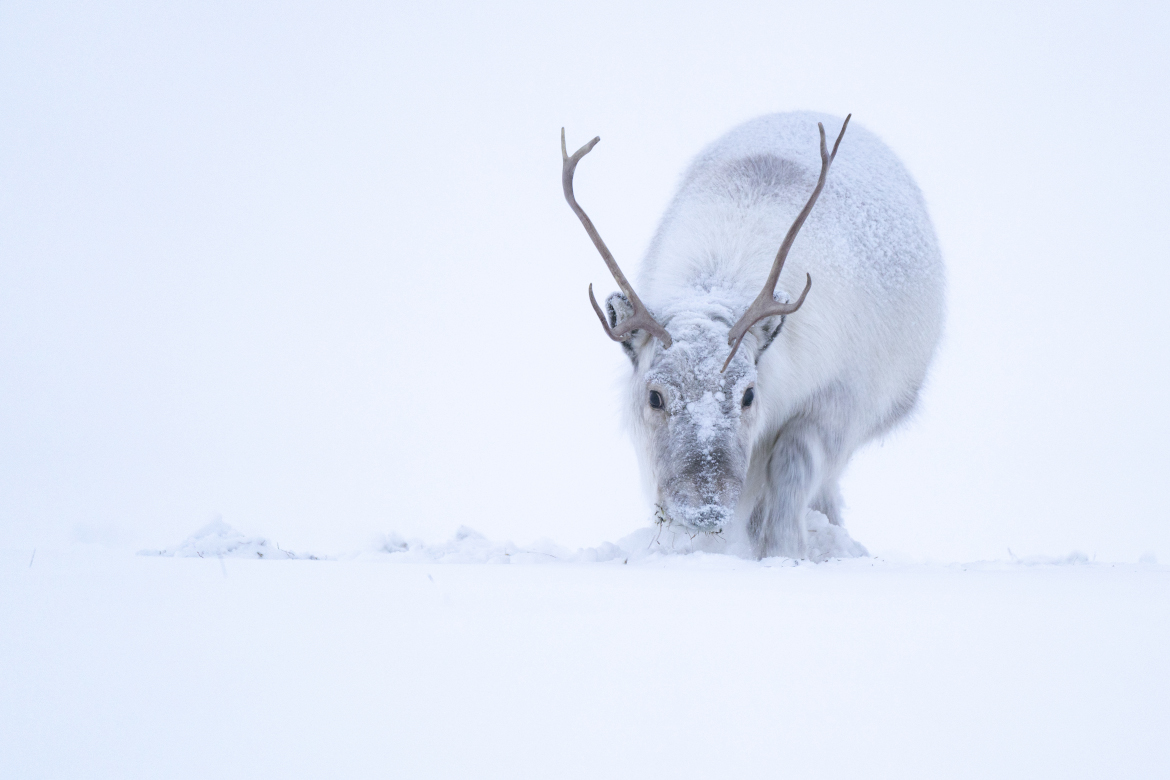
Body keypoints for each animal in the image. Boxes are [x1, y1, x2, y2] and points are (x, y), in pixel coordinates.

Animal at [561, 112, 945, 559]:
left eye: (748, 394)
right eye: (655, 397)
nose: (707, 508)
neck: (714, 284)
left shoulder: (839, 401)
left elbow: (791, 464)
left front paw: (783, 548)